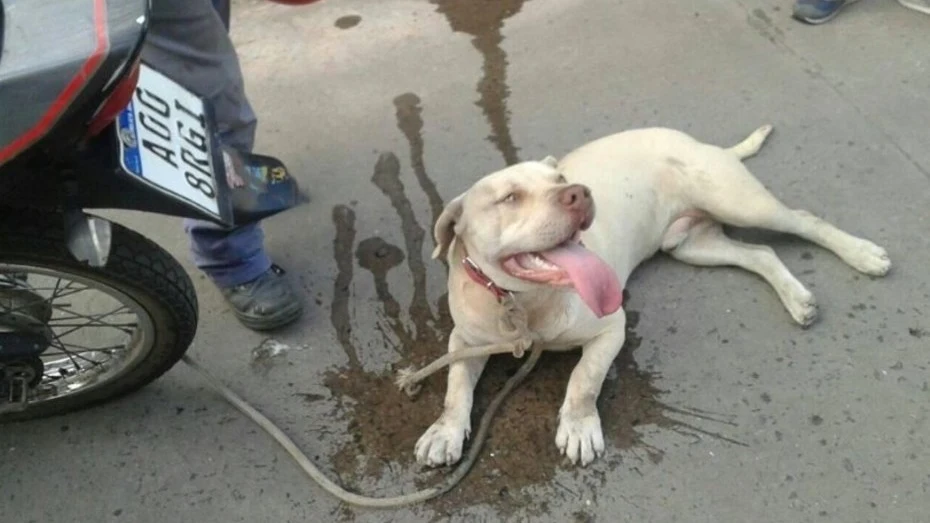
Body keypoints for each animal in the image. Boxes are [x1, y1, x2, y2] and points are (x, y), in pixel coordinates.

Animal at [412, 126, 884, 466]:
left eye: (560, 179)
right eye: (510, 197)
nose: (579, 192)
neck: (525, 303)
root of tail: (705, 143)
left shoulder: (611, 328)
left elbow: (584, 379)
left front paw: (579, 426)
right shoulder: (464, 343)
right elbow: (455, 388)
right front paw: (444, 431)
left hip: (740, 203)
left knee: (804, 220)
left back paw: (862, 253)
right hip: (693, 245)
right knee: (761, 253)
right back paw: (797, 297)